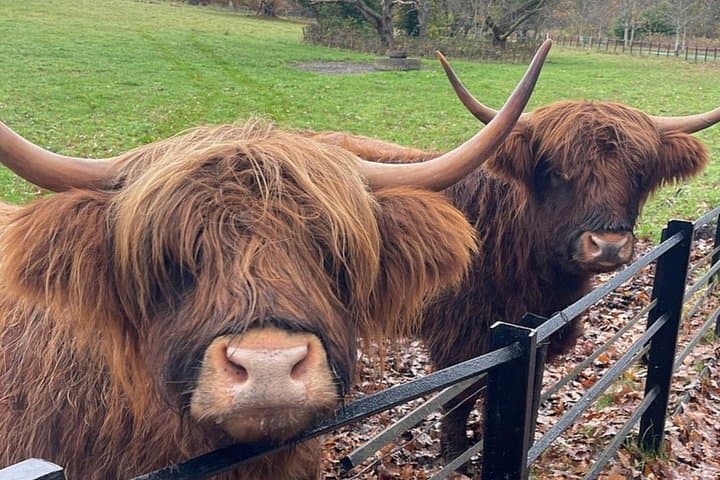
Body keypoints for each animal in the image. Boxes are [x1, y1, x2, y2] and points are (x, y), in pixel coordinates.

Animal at [310, 52, 720, 464]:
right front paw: (454, 453)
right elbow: (459, 400)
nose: (607, 245)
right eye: (556, 172)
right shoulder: (459, 337)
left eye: (638, 173)